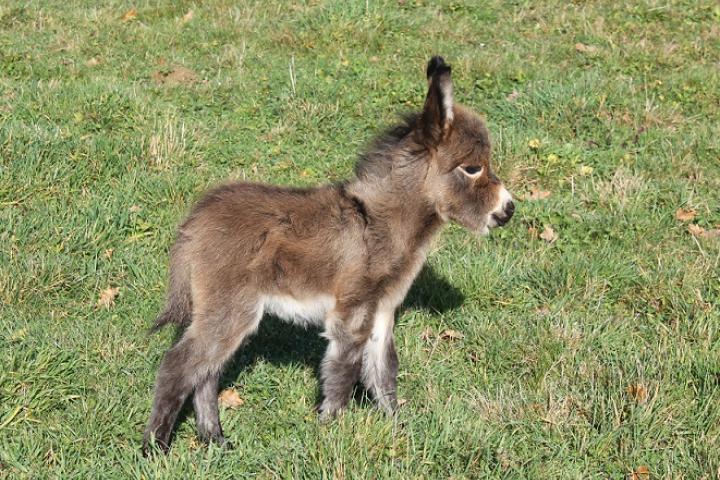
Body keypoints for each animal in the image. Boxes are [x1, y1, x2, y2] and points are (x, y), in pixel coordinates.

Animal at [142, 57, 512, 454]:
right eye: (472, 168)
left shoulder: (382, 309)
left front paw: (397, 431)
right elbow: (343, 370)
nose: (509, 210)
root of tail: (195, 220)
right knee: (179, 365)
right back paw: (155, 448)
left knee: (206, 373)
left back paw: (215, 439)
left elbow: (384, 371)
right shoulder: (352, 308)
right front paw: (332, 429)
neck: (381, 223)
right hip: (230, 308)